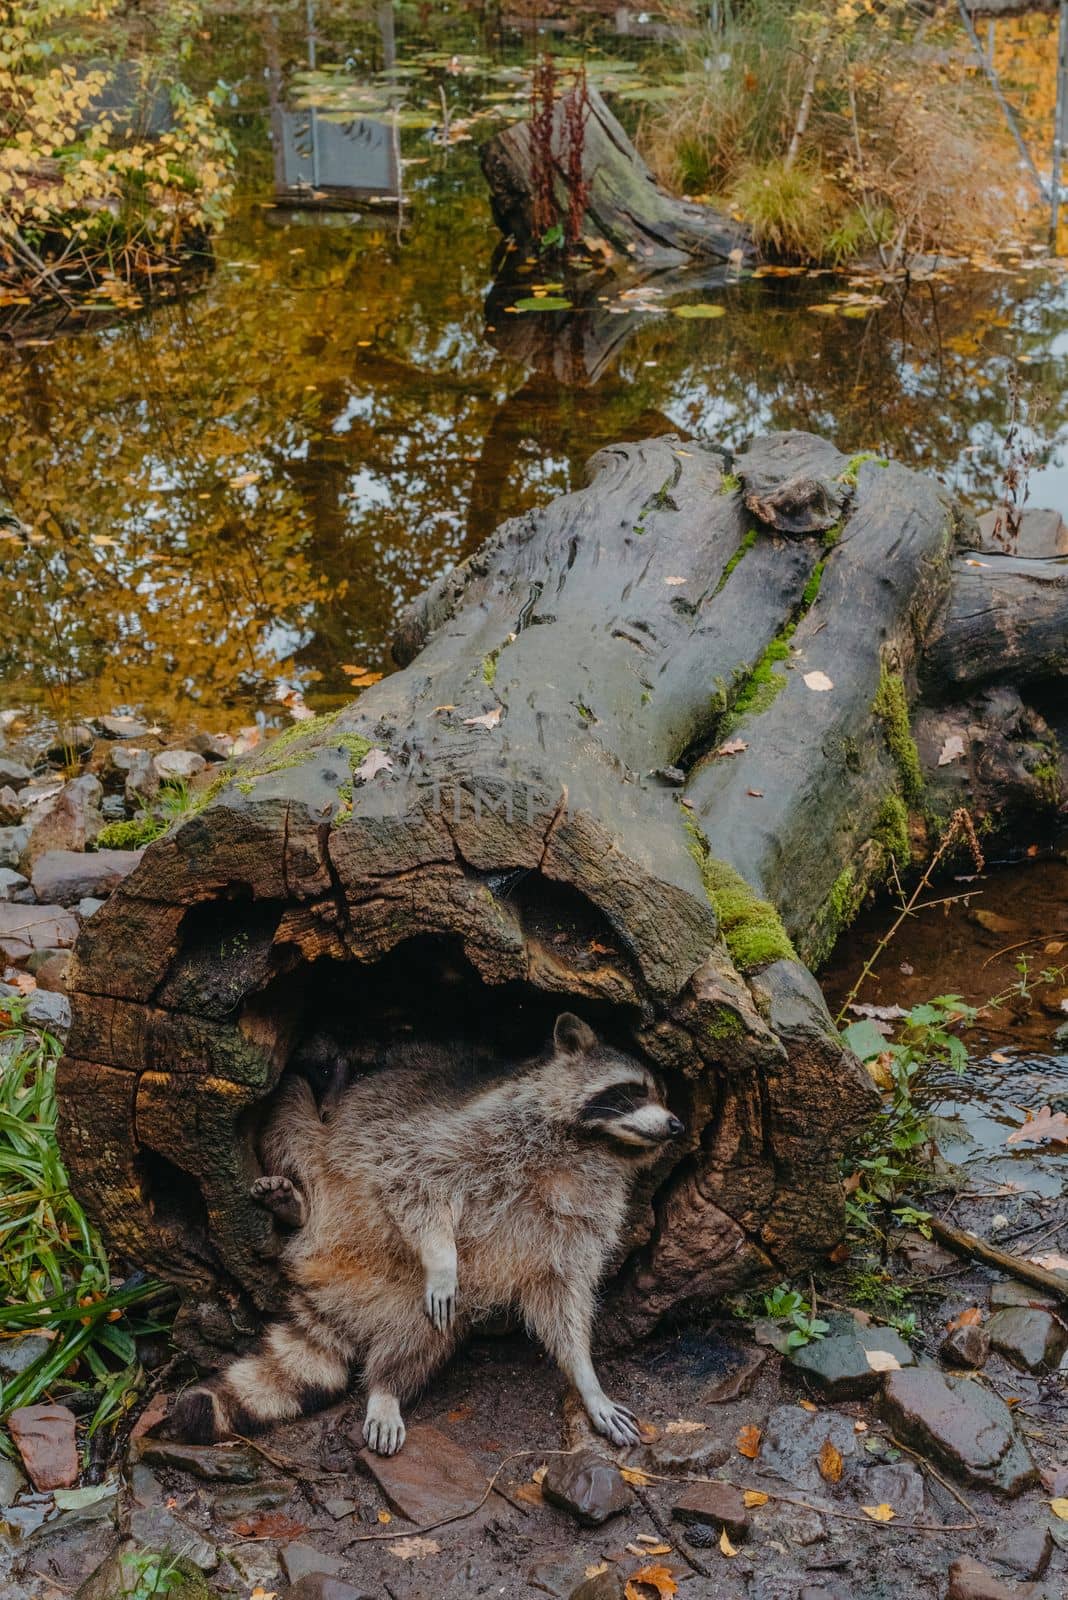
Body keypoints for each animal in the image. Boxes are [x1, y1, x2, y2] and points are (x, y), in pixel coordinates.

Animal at [167, 1017, 684, 1459]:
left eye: (665, 1094)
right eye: (632, 1091)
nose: (677, 1124)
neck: (594, 1146)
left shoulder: (585, 1219)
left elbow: (564, 1295)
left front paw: (586, 1379)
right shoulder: (469, 1131)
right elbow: (415, 1179)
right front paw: (441, 1259)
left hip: (412, 1307)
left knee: (420, 1339)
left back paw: (387, 1387)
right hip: (319, 1163)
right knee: (292, 1108)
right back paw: (297, 1204)